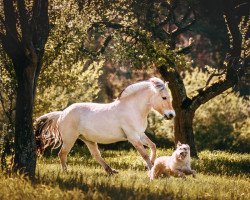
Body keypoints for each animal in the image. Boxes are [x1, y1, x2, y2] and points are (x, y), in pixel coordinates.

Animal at [34, 77, 176, 174]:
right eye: (164, 97)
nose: (171, 115)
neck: (132, 108)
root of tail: (62, 113)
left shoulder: (140, 134)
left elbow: (153, 146)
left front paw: (150, 165)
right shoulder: (133, 137)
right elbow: (144, 154)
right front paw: (151, 169)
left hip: (88, 140)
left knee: (96, 155)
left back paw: (111, 171)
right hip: (70, 139)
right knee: (62, 154)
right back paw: (66, 172)